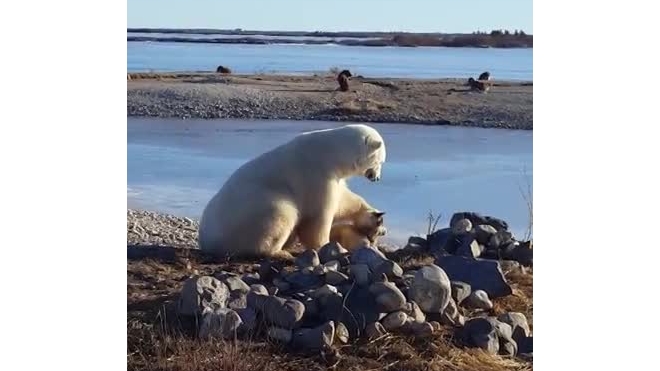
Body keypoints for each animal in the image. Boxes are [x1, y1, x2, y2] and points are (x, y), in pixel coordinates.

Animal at [199, 123, 390, 260]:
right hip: (254, 211)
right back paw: (281, 252)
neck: (332, 152)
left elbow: (344, 201)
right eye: (380, 161)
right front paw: (327, 246)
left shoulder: (334, 177)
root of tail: (206, 240)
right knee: (282, 214)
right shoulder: (316, 174)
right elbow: (318, 217)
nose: (377, 178)